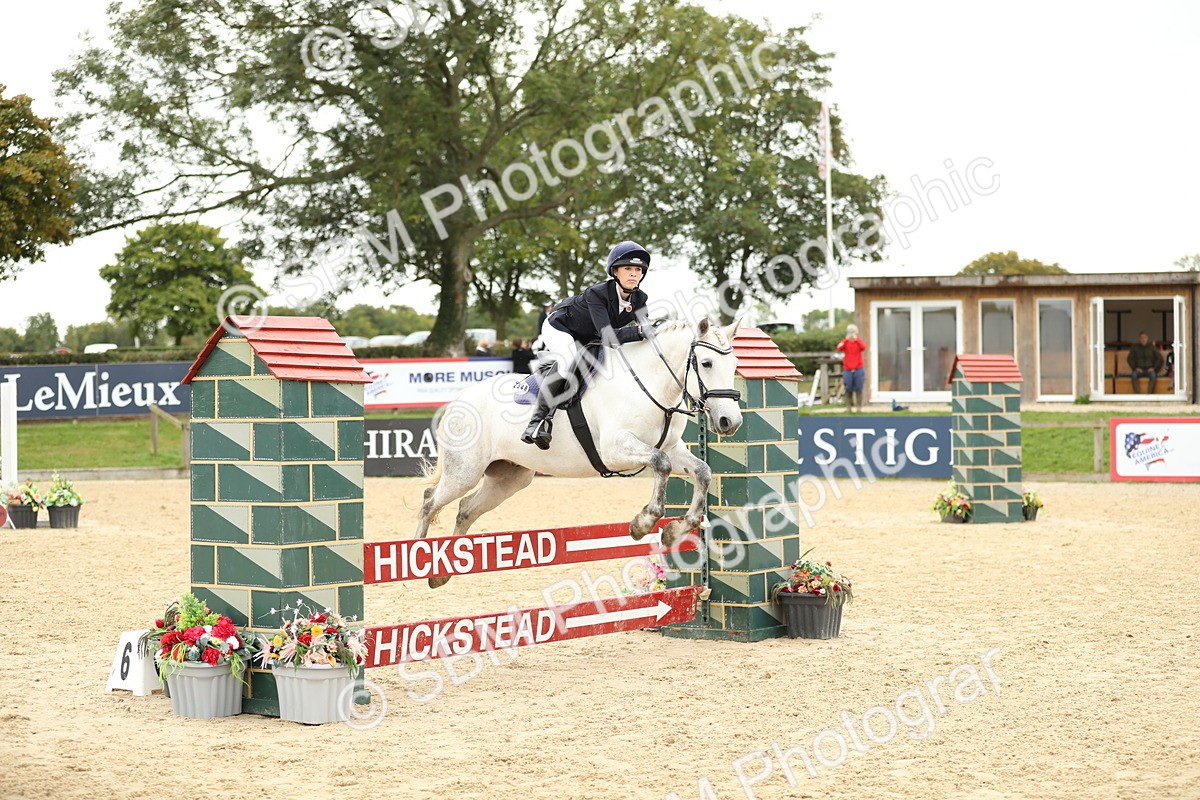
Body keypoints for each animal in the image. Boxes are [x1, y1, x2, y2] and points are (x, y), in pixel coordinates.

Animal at [415, 318, 744, 588]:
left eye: (734, 365)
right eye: (706, 363)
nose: (730, 422)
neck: (649, 384)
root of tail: (460, 398)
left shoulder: (672, 449)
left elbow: (702, 472)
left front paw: (675, 531)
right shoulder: (615, 449)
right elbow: (660, 465)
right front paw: (643, 523)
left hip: (509, 478)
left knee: (466, 509)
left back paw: (443, 572)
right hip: (465, 472)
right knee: (430, 501)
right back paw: (418, 559)